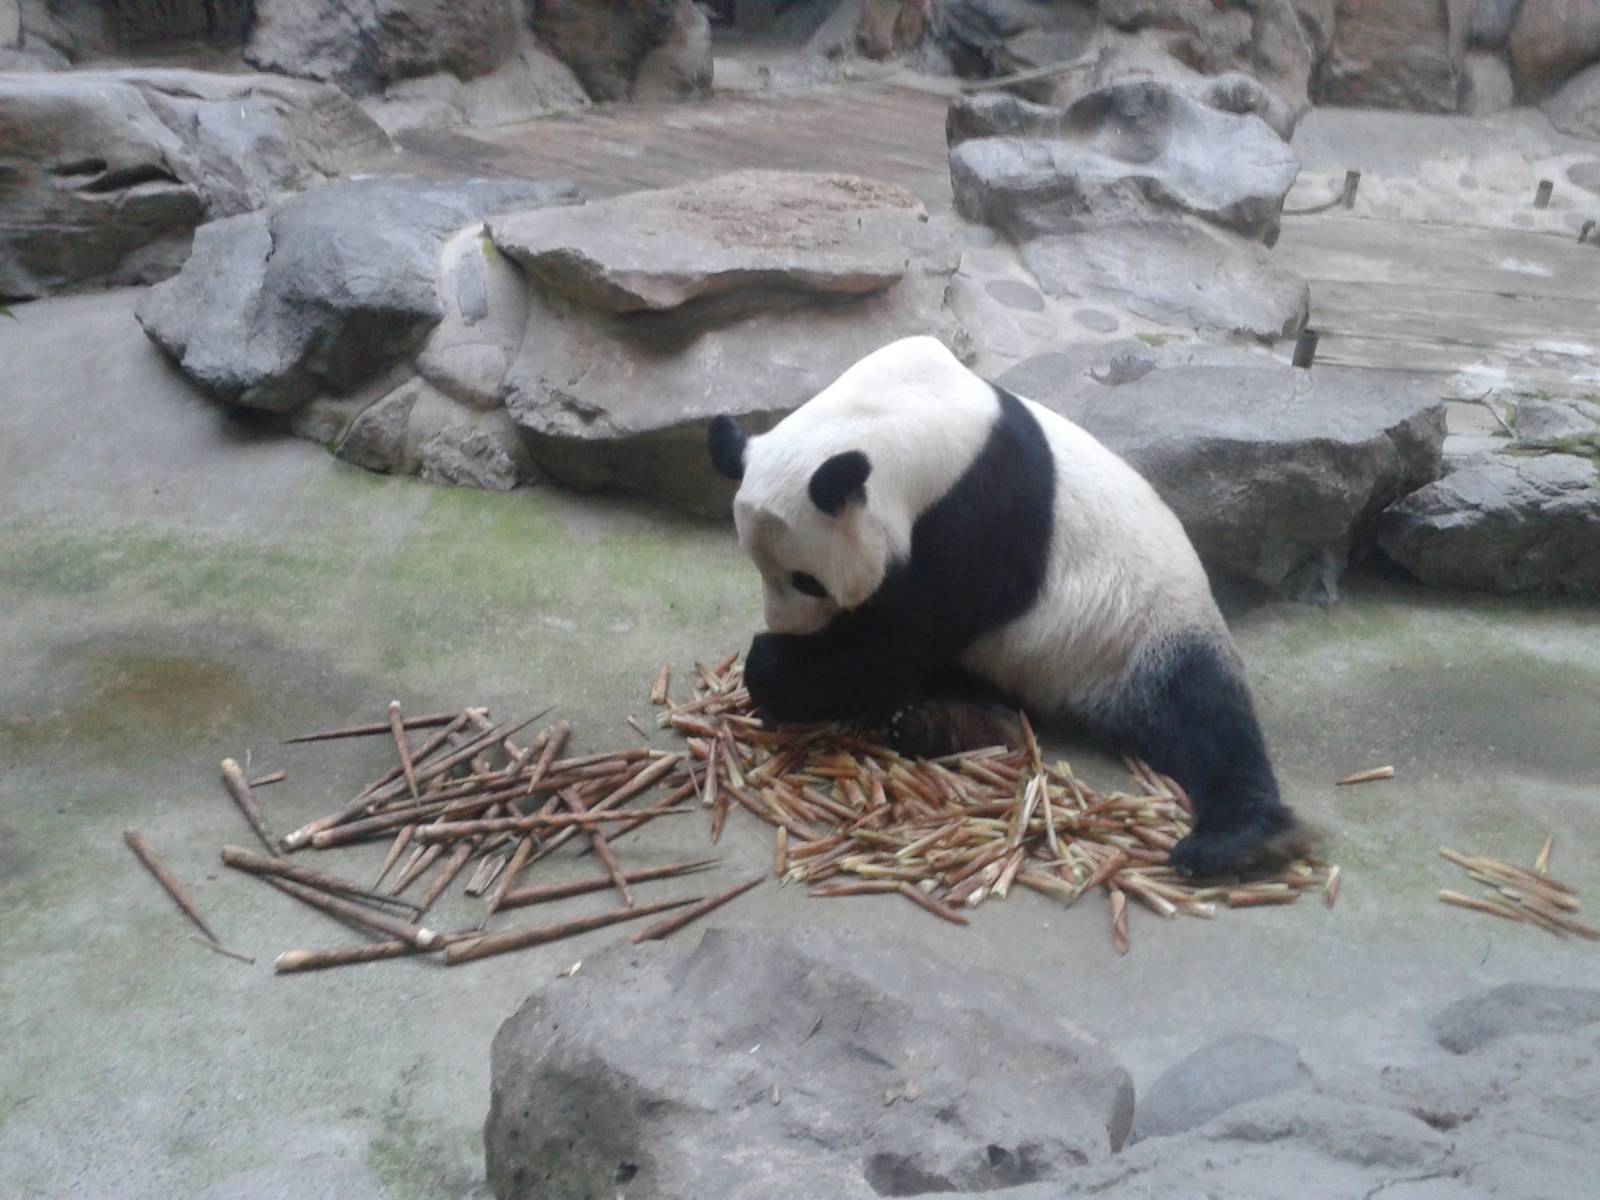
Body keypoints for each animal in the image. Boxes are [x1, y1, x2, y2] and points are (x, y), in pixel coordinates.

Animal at [706, 335, 1305, 879]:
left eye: (807, 581)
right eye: (757, 566)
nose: (786, 627)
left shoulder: (979, 517)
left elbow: (897, 641)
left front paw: (773, 667)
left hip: (1143, 629)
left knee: (1204, 715)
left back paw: (1241, 840)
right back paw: (950, 726)